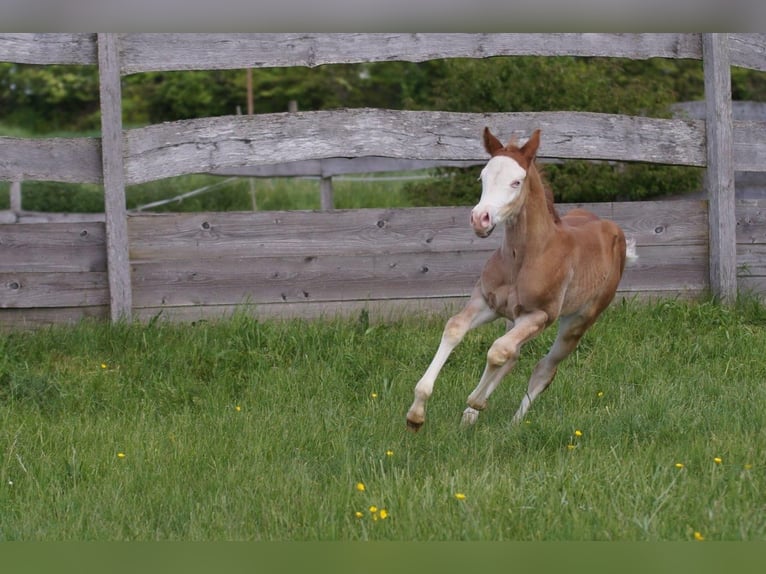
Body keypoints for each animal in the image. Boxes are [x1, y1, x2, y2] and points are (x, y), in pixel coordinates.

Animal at [404, 127, 632, 432]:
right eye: (482, 177)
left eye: (516, 182)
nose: (480, 218)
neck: (523, 257)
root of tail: (614, 229)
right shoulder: (486, 301)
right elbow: (455, 329)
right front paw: (417, 413)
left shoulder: (539, 315)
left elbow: (498, 351)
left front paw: (477, 400)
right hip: (514, 317)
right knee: (514, 354)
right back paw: (470, 417)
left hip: (578, 320)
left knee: (543, 367)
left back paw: (512, 424)